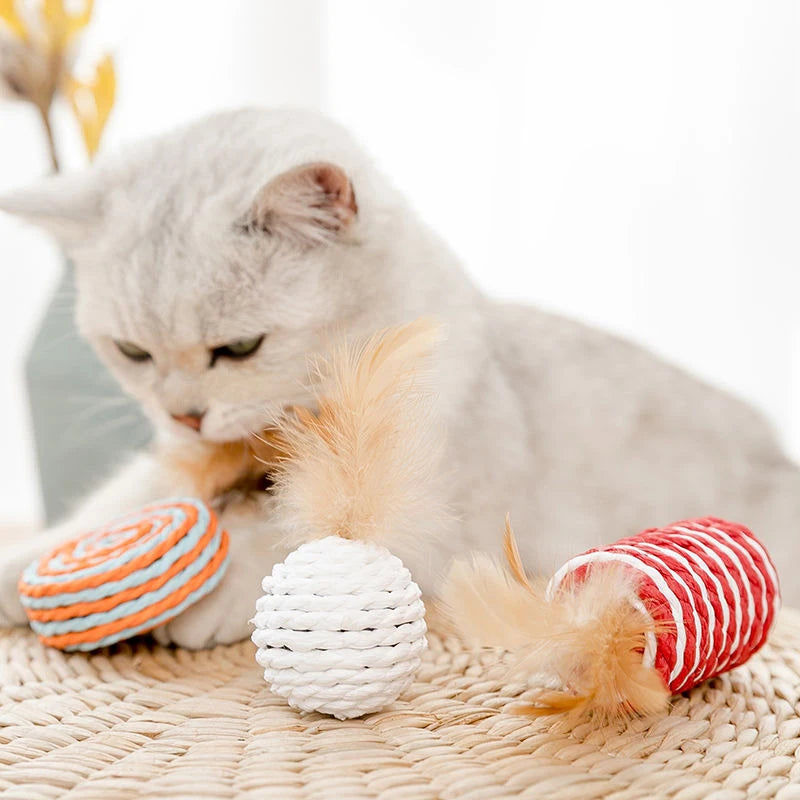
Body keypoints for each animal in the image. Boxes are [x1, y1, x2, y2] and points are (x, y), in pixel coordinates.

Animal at [0, 106, 796, 648]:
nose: (182, 415)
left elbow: (287, 537)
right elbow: (122, 504)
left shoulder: (420, 518)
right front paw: (30, 571)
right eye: (132, 353)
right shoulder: (189, 465)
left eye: (240, 347)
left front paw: (202, 601)